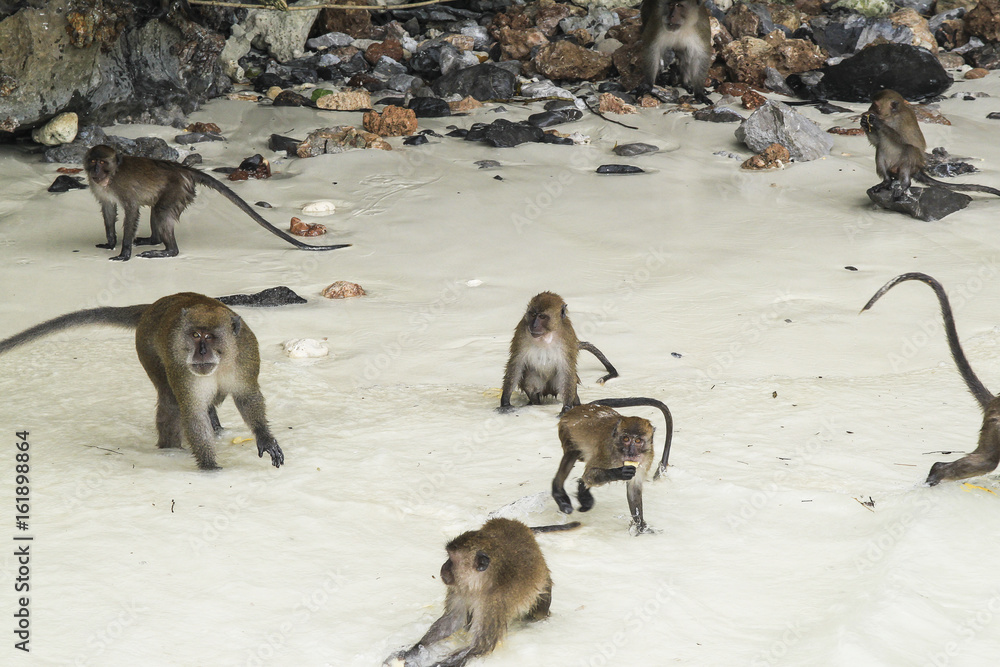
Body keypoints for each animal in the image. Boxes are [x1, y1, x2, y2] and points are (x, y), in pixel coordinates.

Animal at [0, 292, 284, 470]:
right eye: (195, 335)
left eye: (210, 337)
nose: (200, 353)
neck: (223, 362)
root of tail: (153, 306)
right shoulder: (182, 367)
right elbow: (192, 412)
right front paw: (210, 467)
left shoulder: (246, 356)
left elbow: (247, 397)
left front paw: (264, 437)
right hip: (147, 346)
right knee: (170, 401)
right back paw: (170, 449)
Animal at [83, 144, 350, 261]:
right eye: (92, 161)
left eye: (102, 162)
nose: (95, 171)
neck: (110, 177)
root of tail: (183, 169)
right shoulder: (101, 190)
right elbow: (109, 209)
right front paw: (111, 242)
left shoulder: (123, 188)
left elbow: (131, 211)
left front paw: (124, 251)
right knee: (157, 211)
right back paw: (154, 240)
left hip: (177, 189)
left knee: (161, 212)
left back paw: (168, 250)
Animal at [384, 518, 572, 667]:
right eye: (448, 557)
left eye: (452, 560)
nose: (443, 567)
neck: (481, 585)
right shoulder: (460, 589)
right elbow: (453, 620)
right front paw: (413, 650)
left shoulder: (496, 602)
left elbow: (481, 645)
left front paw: (438, 664)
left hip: (543, 586)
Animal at [551, 397, 674, 534]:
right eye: (626, 439)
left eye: (638, 441)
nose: (631, 452)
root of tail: (579, 408)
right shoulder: (607, 451)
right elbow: (589, 474)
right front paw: (619, 472)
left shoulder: (647, 457)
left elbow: (634, 489)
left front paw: (640, 526)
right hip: (566, 430)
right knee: (572, 454)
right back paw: (559, 494)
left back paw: (583, 492)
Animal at [860, 90, 1000, 201]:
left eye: (875, 105)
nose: (869, 110)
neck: (890, 117)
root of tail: (917, 169)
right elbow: (877, 142)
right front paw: (864, 123)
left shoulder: (902, 120)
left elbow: (908, 141)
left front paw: (876, 122)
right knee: (880, 151)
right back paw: (886, 182)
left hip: (910, 165)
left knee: (910, 151)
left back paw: (905, 184)